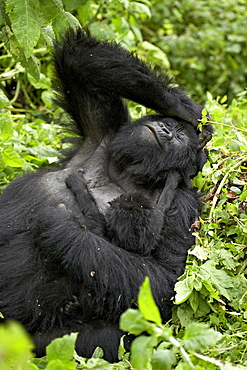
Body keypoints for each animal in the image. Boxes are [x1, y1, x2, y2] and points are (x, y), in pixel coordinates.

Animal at [0, 28, 212, 362]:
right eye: (170, 125)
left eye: (178, 137)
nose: (166, 130)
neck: (129, 174)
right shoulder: (104, 134)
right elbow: (78, 59)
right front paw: (186, 108)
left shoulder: (183, 202)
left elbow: (164, 282)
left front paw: (62, 230)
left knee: (106, 339)